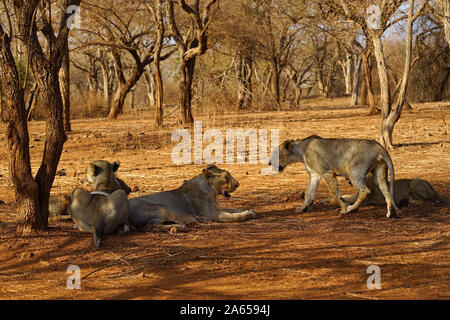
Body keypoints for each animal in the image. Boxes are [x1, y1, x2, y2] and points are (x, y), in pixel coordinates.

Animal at [128, 165, 256, 228]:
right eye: (225, 177)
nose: (238, 184)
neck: (211, 190)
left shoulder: (216, 208)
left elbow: (234, 209)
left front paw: (251, 211)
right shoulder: (211, 213)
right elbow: (234, 216)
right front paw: (248, 214)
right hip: (161, 209)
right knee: (152, 226)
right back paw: (180, 226)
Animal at [268, 135, 400, 218]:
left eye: (275, 154)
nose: (269, 163)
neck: (302, 150)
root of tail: (379, 146)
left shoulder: (327, 173)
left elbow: (335, 194)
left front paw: (344, 208)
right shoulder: (314, 175)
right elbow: (309, 194)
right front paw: (302, 208)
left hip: (354, 170)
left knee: (365, 191)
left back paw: (351, 208)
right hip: (380, 171)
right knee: (386, 190)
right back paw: (391, 213)